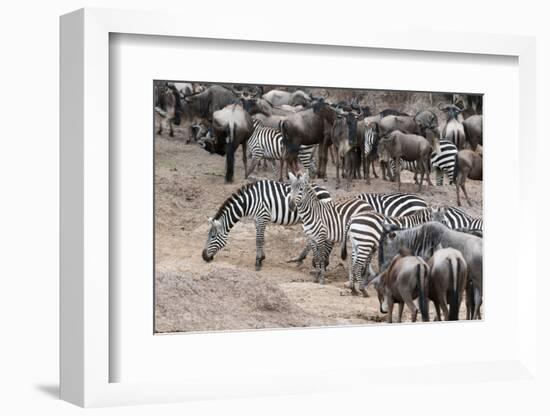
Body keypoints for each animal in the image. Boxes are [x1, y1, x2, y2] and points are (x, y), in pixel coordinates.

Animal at [204, 179, 332, 270]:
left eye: (213, 237)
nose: (203, 257)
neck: (249, 201)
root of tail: (326, 191)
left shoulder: (262, 217)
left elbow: (259, 240)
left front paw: (258, 262)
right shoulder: (257, 219)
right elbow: (260, 239)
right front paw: (262, 257)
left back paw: (319, 262)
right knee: (311, 241)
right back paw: (300, 259)